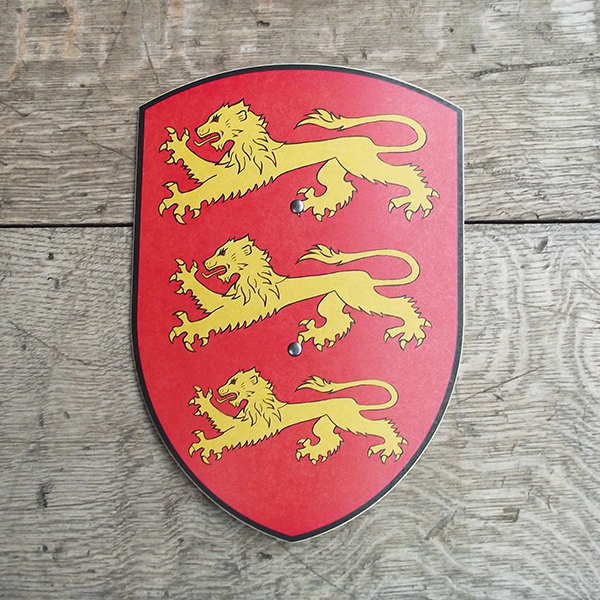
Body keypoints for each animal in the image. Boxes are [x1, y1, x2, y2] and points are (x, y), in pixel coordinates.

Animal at [157, 101, 438, 223]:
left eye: (216, 119)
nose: (198, 130)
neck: (245, 146)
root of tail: (370, 141)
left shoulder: (240, 178)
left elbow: (208, 188)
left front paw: (181, 199)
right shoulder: (222, 170)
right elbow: (200, 169)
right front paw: (179, 145)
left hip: (361, 164)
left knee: (408, 172)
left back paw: (414, 198)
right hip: (331, 169)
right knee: (342, 188)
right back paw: (318, 202)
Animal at [169, 236, 432, 352]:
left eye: (223, 252)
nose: (206, 262)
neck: (249, 279)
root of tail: (367, 275)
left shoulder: (246, 309)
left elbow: (215, 318)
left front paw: (189, 327)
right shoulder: (229, 301)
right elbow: (208, 299)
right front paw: (187, 276)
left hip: (358, 297)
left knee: (402, 304)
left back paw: (408, 329)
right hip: (331, 301)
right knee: (340, 319)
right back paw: (317, 333)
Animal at [190, 368, 410, 466]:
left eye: (234, 381)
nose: (219, 389)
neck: (256, 404)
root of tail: (353, 402)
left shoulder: (251, 430)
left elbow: (226, 437)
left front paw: (205, 444)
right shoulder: (238, 423)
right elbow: (221, 421)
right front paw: (203, 401)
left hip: (346, 419)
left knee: (383, 425)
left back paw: (388, 446)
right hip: (323, 423)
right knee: (332, 438)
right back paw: (312, 450)